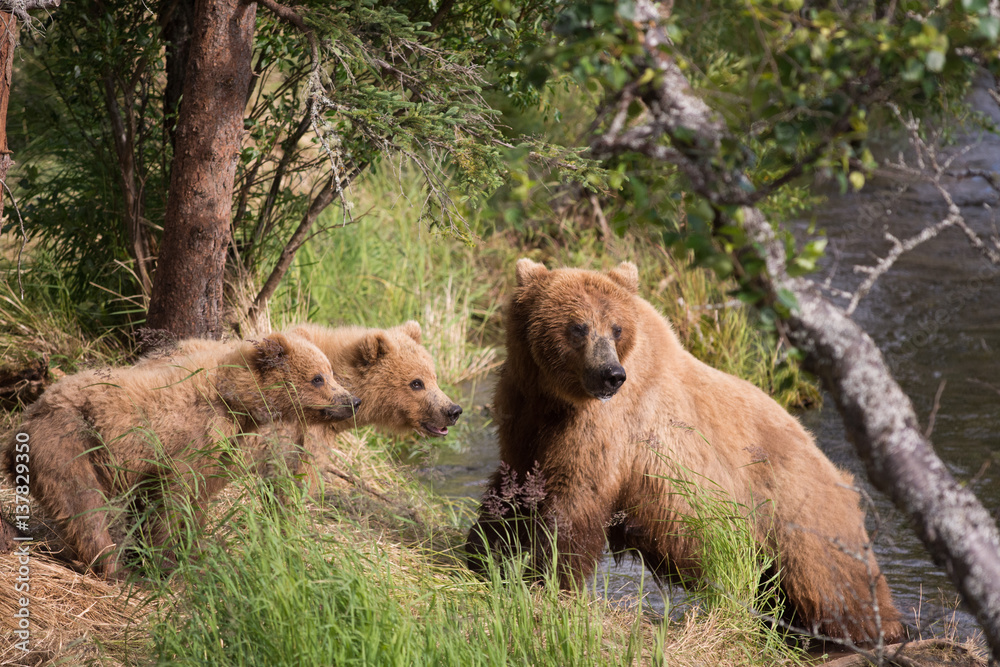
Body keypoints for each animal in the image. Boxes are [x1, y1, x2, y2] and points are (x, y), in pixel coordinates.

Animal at [2, 332, 359, 578]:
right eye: (318, 377)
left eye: (331, 372)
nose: (352, 401)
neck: (237, 401)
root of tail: (30, 414)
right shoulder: (193, 438)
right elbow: (177, 500)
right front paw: (170, 561)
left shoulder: (218, 448)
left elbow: (190, 499)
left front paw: (187, 552)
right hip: (70, 442)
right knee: (83, 505)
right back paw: (113, 567)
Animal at [465, 259, 903, 645]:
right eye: (578, 326)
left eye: (616, 328)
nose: (611, 375)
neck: (555, 397)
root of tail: (839, 474)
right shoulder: (524, 414)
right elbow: (514, 484)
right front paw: (482, 553)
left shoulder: (606, 426)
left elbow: (574, 499)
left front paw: (546, 577)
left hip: (799, 516)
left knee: (834, 588)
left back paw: (878, 631)